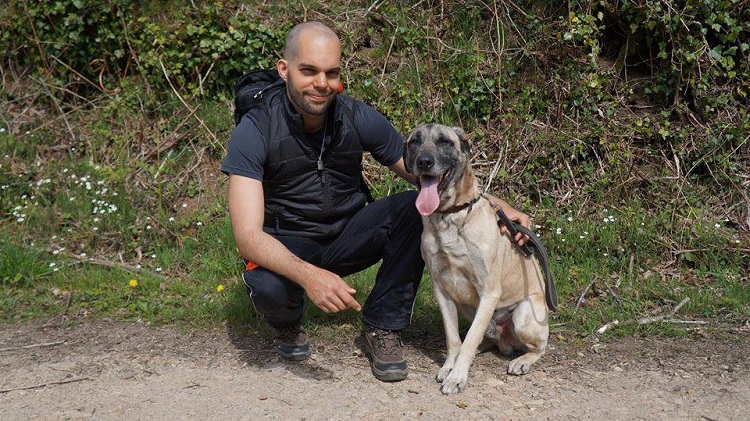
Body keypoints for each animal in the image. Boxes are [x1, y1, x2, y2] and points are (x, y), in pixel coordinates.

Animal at [404, 123, 550, 395]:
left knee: (539, 346)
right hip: (468, 306)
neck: (450, 215)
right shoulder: (442, 290)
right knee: (481, 337)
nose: (424, 162)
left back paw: (523, 360)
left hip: (524, 314)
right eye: (414, 142)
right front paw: (449, 366)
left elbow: (469, 341)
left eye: (444, 142)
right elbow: (454, 339)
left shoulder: (489, 291)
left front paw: (457, 377)